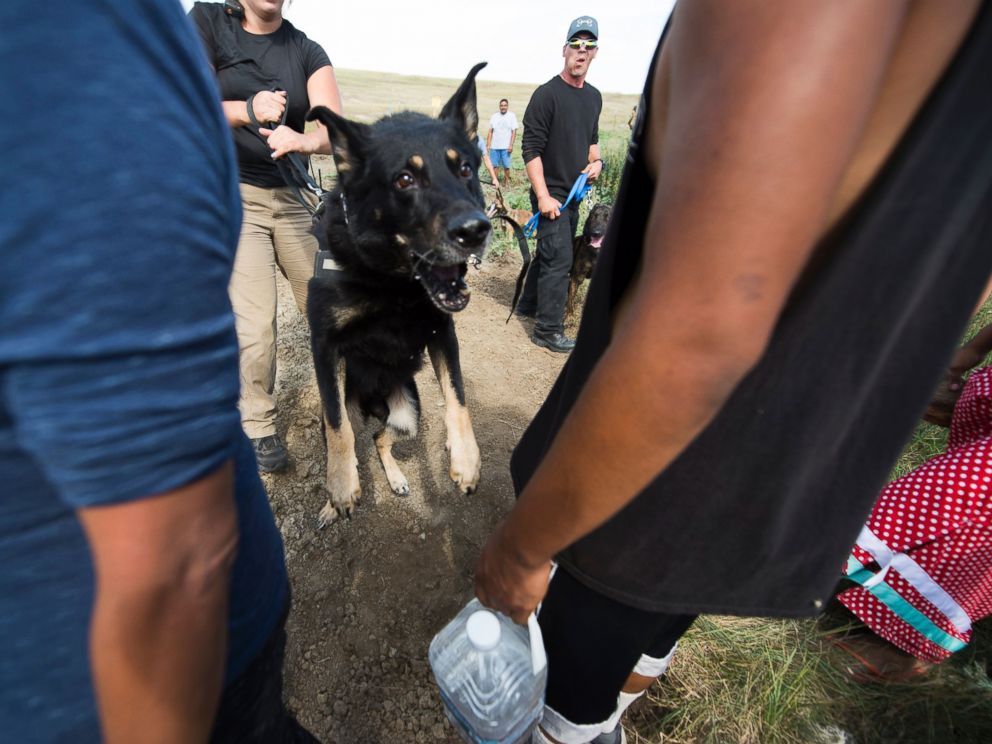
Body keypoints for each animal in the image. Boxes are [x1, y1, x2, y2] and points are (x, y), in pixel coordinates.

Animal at [302, 65, 488, 528]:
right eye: (405, 179)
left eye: (466, 169)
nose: (476, 230)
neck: (393, 282)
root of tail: (374, 403)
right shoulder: (324, 344)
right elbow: (338, 430)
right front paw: (341, 489)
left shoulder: (442, 333)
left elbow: (458, 397)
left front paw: (466, 460)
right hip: (353, 403)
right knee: (351, 432)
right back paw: (331, 502)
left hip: (409, 414)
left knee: (381, 440)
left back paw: (400, 478)